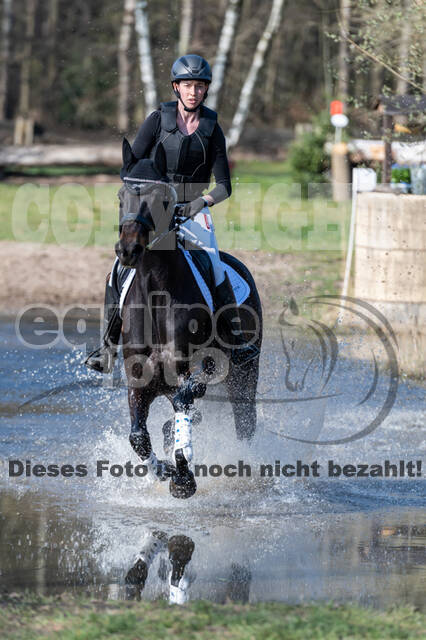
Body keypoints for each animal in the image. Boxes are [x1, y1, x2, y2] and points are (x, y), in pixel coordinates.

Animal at [117, 144, 262, 500]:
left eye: (160, 199)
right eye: (120, 196)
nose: (128, 249)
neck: (157, 290)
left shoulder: (194, 371)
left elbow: (186, 399)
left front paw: (183, 478)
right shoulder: (139, 380)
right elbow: (138, 437)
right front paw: (166, 469)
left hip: (244, 373)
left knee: (244, 421)